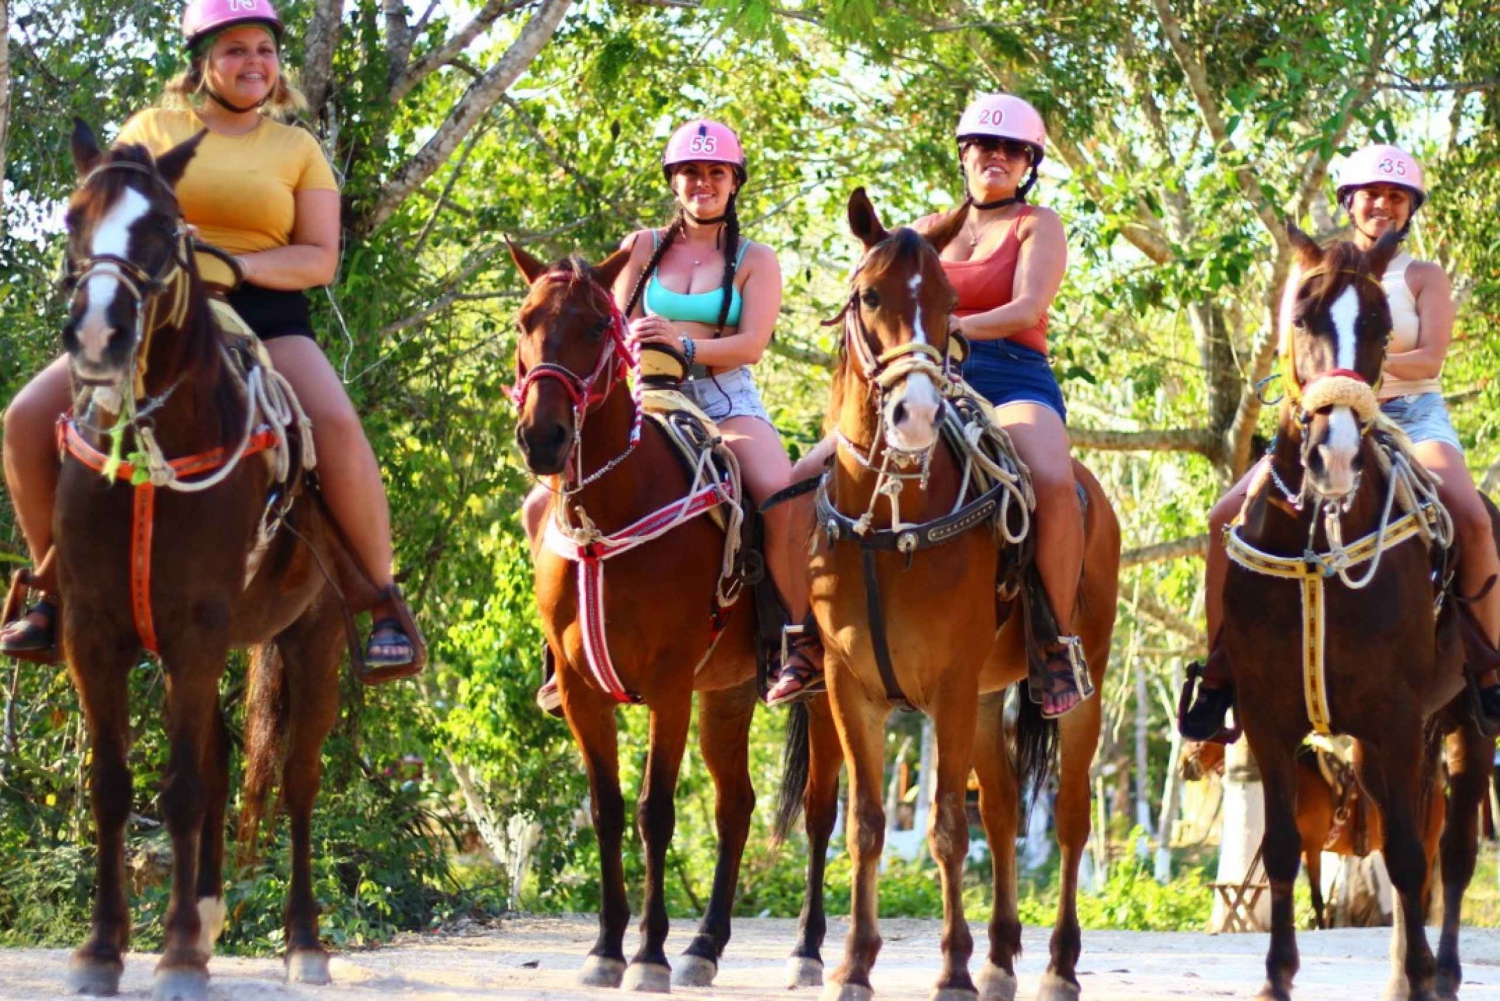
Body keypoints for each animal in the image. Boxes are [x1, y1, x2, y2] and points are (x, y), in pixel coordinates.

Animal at [58, 123, 369, 1001]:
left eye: (165, 230)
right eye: (72, 218)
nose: (98, 339)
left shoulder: (196, 629)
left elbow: (184, 788)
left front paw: (176, 959)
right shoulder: (93, 631)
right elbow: (113, 784)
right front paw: (103, 948)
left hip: (313, 639)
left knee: (296, 778)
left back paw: (302, 941)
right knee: (226, 754)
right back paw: (203, 912)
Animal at [786, 189, 1116, 1001]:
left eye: (947, 303)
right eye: (869, 296)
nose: (915, 415)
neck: (889, 514)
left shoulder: (951, 684)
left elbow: (942, 827)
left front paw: (954, 966)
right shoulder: (852, 687)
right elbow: (869, 824)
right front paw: (855, 962)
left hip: (1075, 685)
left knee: (1067, 817)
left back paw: (1057, 963)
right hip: (991, 693)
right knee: (999, 809)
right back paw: (1002, 956)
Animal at [1224, 226, 1494, 1001]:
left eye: (1379, 326)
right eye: (1301, 316)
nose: (1335, 453)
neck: (1318, 538)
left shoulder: (1396, 713)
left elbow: (1406, 854)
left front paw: (1427, 973)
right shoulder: (1268, 712)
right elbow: (1283, 848)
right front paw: (1277, 976)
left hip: (1464, 723)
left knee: (1450, 850)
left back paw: (1441, 971)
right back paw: (1406, 969)